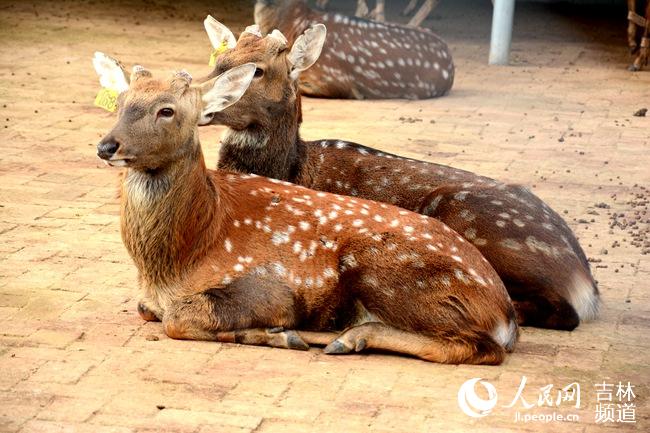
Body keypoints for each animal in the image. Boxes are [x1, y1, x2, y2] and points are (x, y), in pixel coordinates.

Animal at [91, 54, 516, 364]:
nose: (107, 145)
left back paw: (348, 338)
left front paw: (276, 334)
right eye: (121, 103)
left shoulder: (272, 286)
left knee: (480, 348)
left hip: (391, 272)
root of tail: (505, 314)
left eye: (166, 110)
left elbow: (177, 319)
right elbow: (148, 310)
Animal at [199, 19, 596, 330]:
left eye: (258, 70)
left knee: (564, 313)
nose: (202, 101)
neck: (295, 169)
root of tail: (585, 281)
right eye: (218, 61)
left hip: (471, 220)